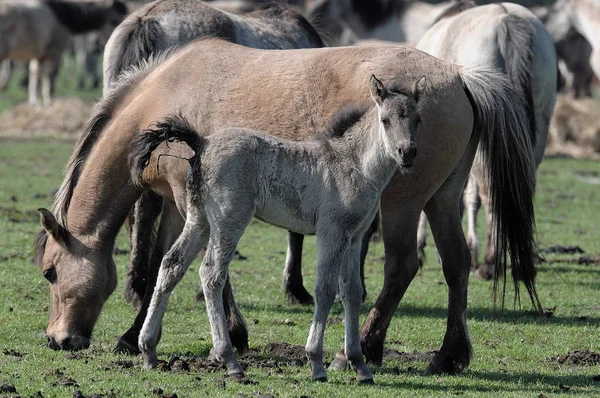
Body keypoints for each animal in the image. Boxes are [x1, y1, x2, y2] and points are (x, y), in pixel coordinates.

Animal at [35, 39, 536, 374]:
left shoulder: (183, 202)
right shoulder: (194, 209)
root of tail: (460, 75)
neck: (166, 93)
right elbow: (178, 265)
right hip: (442, 199)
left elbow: (181, 264)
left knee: (402, 267)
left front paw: (160, 338)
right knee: (456, 263)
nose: (58, 339)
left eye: (50, 273)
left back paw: (360, 350)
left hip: (403, 204)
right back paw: (449, 355)